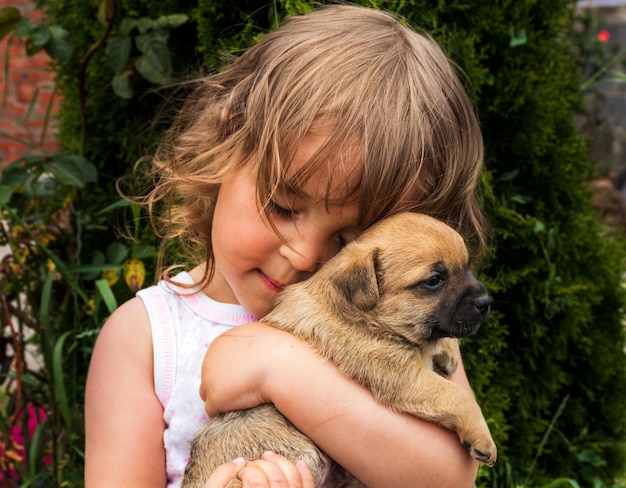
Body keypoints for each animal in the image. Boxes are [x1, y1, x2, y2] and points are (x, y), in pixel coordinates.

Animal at [182, 214, 498, 488]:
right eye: (434, 280)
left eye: (467, 266)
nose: (486, 302)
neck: (364, 315)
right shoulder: (405, 379)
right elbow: (457, 397)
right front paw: (483, 438)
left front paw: (446, 353)